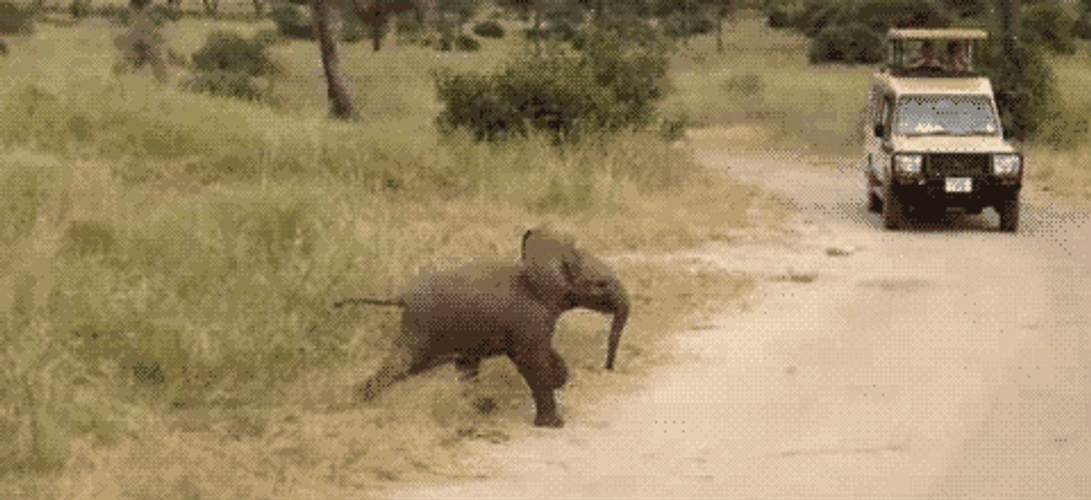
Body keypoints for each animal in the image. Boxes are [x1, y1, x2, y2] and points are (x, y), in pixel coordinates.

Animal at [337, 226, 629, 428]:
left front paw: (559, 379)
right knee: (403, 365)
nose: (608, 368)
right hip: (422, 328)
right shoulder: (528, 320)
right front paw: (554, 425)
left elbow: (545, 354)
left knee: (464, 367)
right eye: (601, 284)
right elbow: (531, 361)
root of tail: (402, 296)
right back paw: (353, 402)